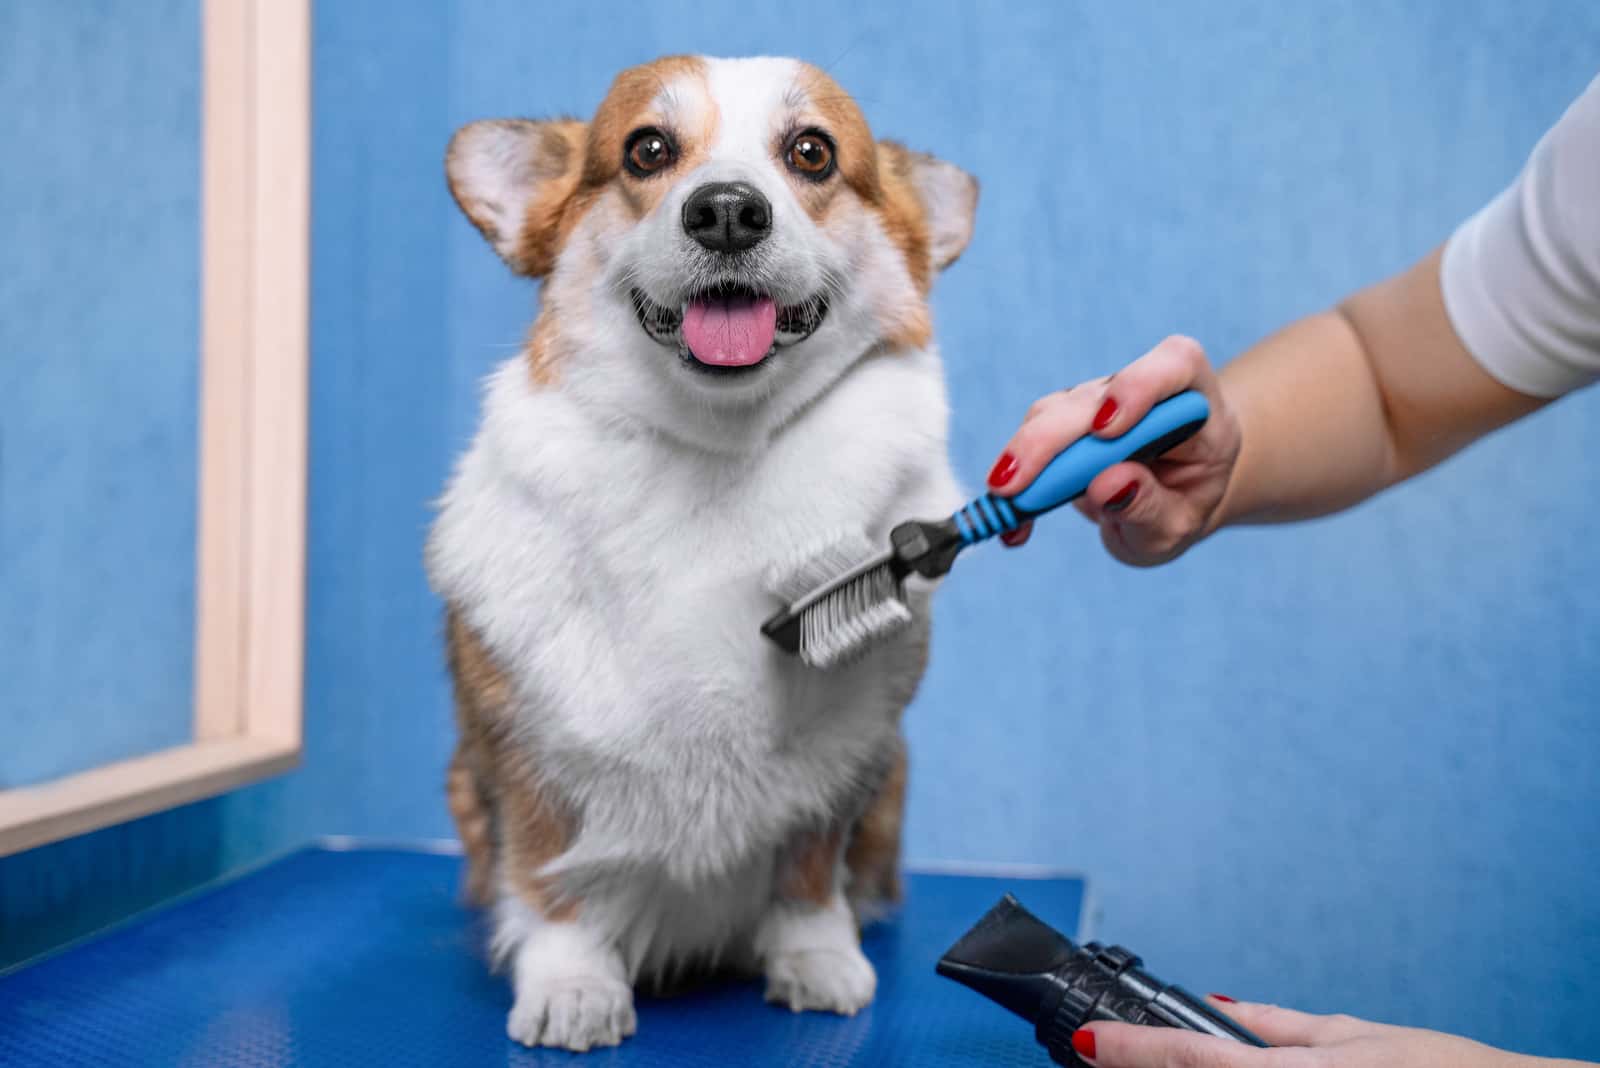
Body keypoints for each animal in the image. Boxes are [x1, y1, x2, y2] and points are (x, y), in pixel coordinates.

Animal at [425, 54, 972, 1048]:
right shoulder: (527, 756)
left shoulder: (845, 760)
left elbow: (807, 873)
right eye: (647, 149)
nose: (724, 210)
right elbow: (551, 880)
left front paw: (817, 959)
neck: (718, 459)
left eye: (811, 152)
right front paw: (571, 986)